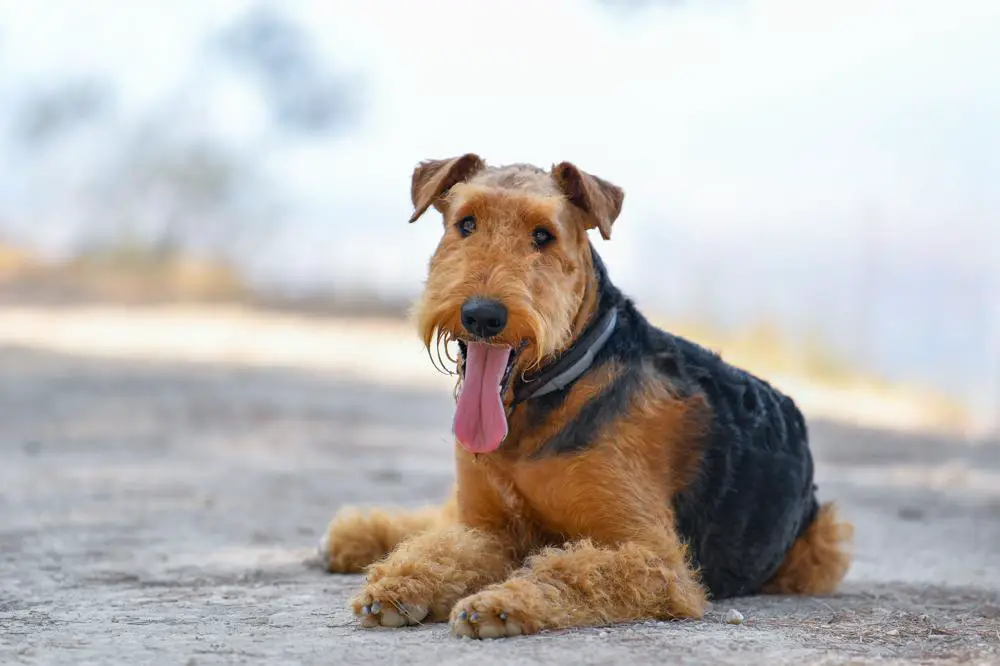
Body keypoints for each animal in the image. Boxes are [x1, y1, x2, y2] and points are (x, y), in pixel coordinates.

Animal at [320, 153, 852, 636]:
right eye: (466, 223)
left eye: (543, 236)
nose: (482, 315)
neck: (546, 396)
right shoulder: (491, 527)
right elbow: (444, 546)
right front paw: (399, 584)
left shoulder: (654, 557)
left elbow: (572, 571)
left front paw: (499, 604)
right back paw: (353, 537)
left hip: (820, 547)